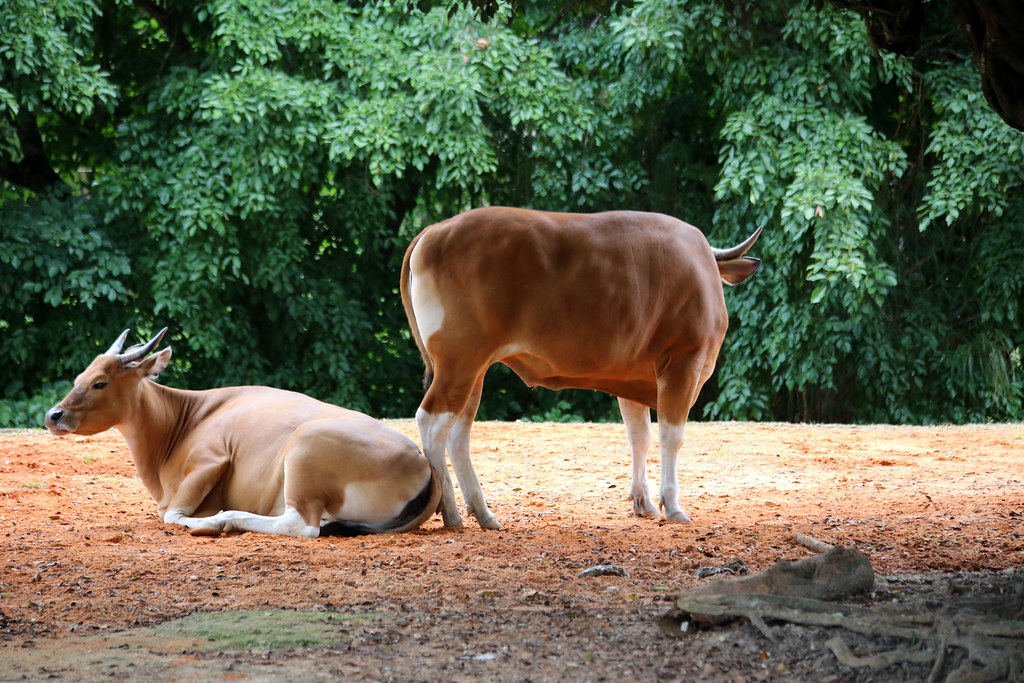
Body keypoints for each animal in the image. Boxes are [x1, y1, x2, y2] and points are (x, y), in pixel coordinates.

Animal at [44, 328, 440, 538]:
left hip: (304, 450)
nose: (53, 415)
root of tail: (420, 462)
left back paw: (225, 520)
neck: (182, 420)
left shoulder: (211, 461)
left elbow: (171, 514)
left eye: (100, 382)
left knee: (302, 525)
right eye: (81, 376)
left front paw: (210, 519)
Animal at [400, 207, 762, 530]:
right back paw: (451, 511)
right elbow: (671, 437)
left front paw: (643, 502)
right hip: (459, 362)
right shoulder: (683, 364)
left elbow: (639, 437)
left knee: (457, 433)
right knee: (432, 423)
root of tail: (433, 231)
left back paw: (481, 512)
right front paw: (671, 504)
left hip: (474, 368)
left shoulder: (631, 378)